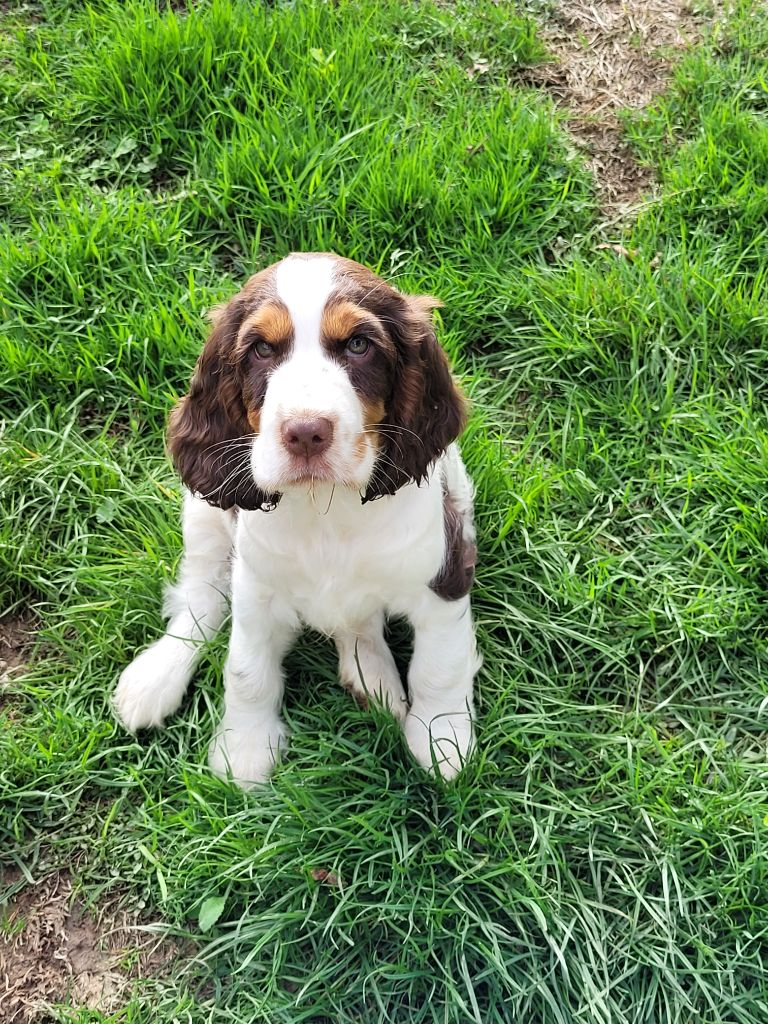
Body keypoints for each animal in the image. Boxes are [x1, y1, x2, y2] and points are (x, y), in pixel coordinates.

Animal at [112, 253, 481, 782]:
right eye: (262, 349)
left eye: (358, 344)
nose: (306, 433)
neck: (326, 509)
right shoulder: (256, 589)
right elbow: (245, 671)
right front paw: (243, 750)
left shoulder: (444, 577)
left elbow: (440, 668)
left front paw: (441, 741)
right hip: (203, 515)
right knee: (200, 602)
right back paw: (154, 677)